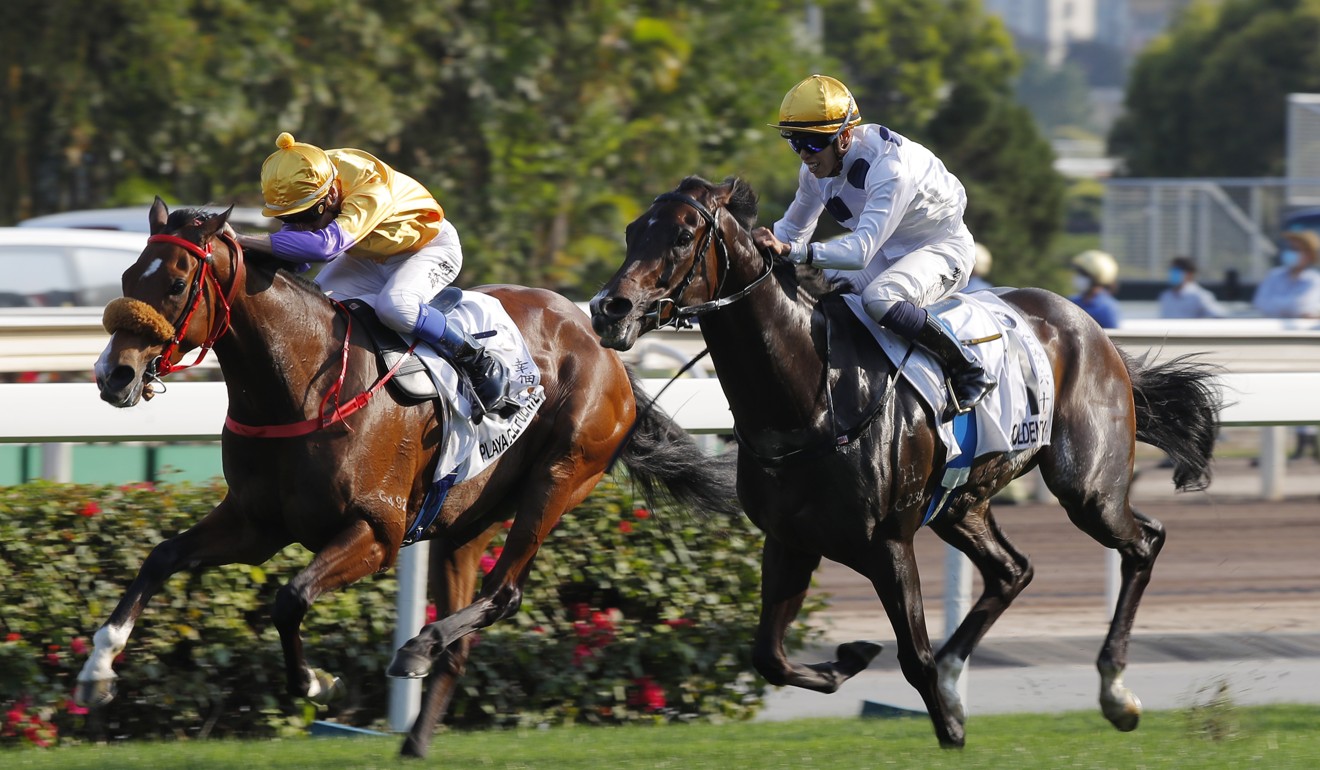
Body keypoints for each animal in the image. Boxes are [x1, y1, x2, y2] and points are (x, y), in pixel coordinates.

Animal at [79, 199, 744, 760]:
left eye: (174, 284)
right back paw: (416, 736)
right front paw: (98, 670)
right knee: (465, 627)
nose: (114, 374)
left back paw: (418, 648)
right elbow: (163, 556)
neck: (300, 385)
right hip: (464, 522)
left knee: (504, 593)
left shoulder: (376, 532)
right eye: (128, 279)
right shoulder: (256, 523)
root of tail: (604, 348)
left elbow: (290, 597)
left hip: (559, 478)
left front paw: (314, 682)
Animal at [594, 178, 1219, 750]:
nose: (609, 309)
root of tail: (1091, 327)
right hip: (962, 504)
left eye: (682, 235)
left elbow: (913, 656)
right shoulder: (790, 540)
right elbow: (769, 655)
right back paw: (964, 675)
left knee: (1143, 542)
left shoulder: (889, 543)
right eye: (631, 231)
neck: (810, 398)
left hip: (1086, 486)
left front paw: (950, 730)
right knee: (1013, 570)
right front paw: (850, 658)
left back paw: (1115, 693)